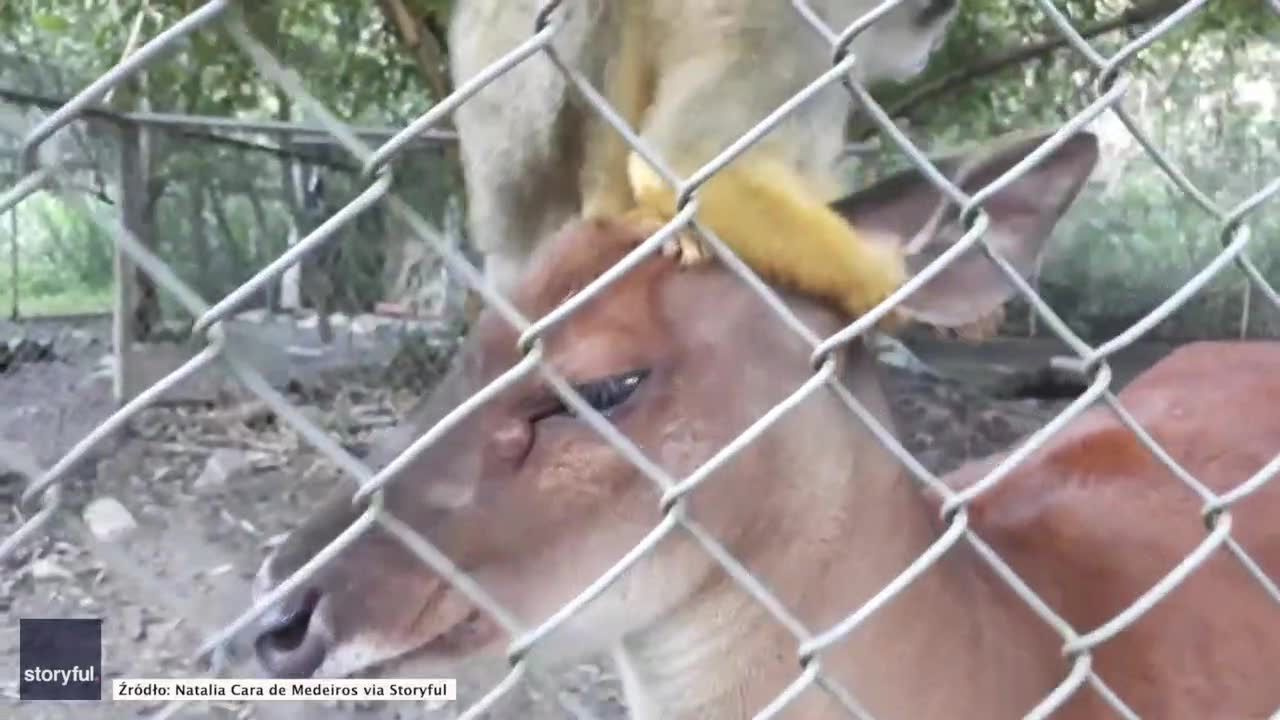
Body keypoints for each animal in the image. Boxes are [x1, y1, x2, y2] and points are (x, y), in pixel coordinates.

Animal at [445, 0, 957, 319]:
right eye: (930, 15)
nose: (930, 52)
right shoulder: (780, 33)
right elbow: (683, 161)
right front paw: (878, 280)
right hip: (510, 136)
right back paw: (614, 216)